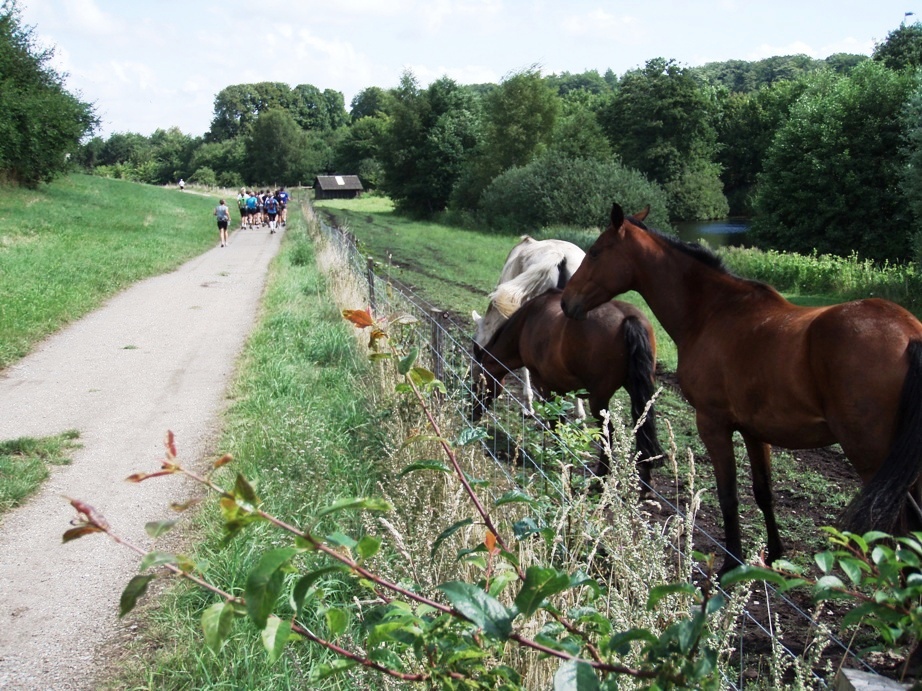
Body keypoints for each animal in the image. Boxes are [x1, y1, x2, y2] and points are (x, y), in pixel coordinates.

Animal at [474, 288, 660, 486]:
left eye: (478, 382)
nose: (473, 414)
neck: (527, 321)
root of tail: (628, 318)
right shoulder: (560, 386)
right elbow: (560, 419)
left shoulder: (544, 383)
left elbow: (555, 419)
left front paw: (557, 451)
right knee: (644, 431)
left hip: (599, 400)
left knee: (607, 435)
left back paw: (600, 480)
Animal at [556, 203, 920, 576]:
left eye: (596, 252)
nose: (567, 302)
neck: (713, 313)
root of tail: (909, 336)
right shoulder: (755, 431)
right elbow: (763, 492)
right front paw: (773, 553)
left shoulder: (713, 425)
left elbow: (728, 495)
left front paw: (732, 562)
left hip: (870, 457)